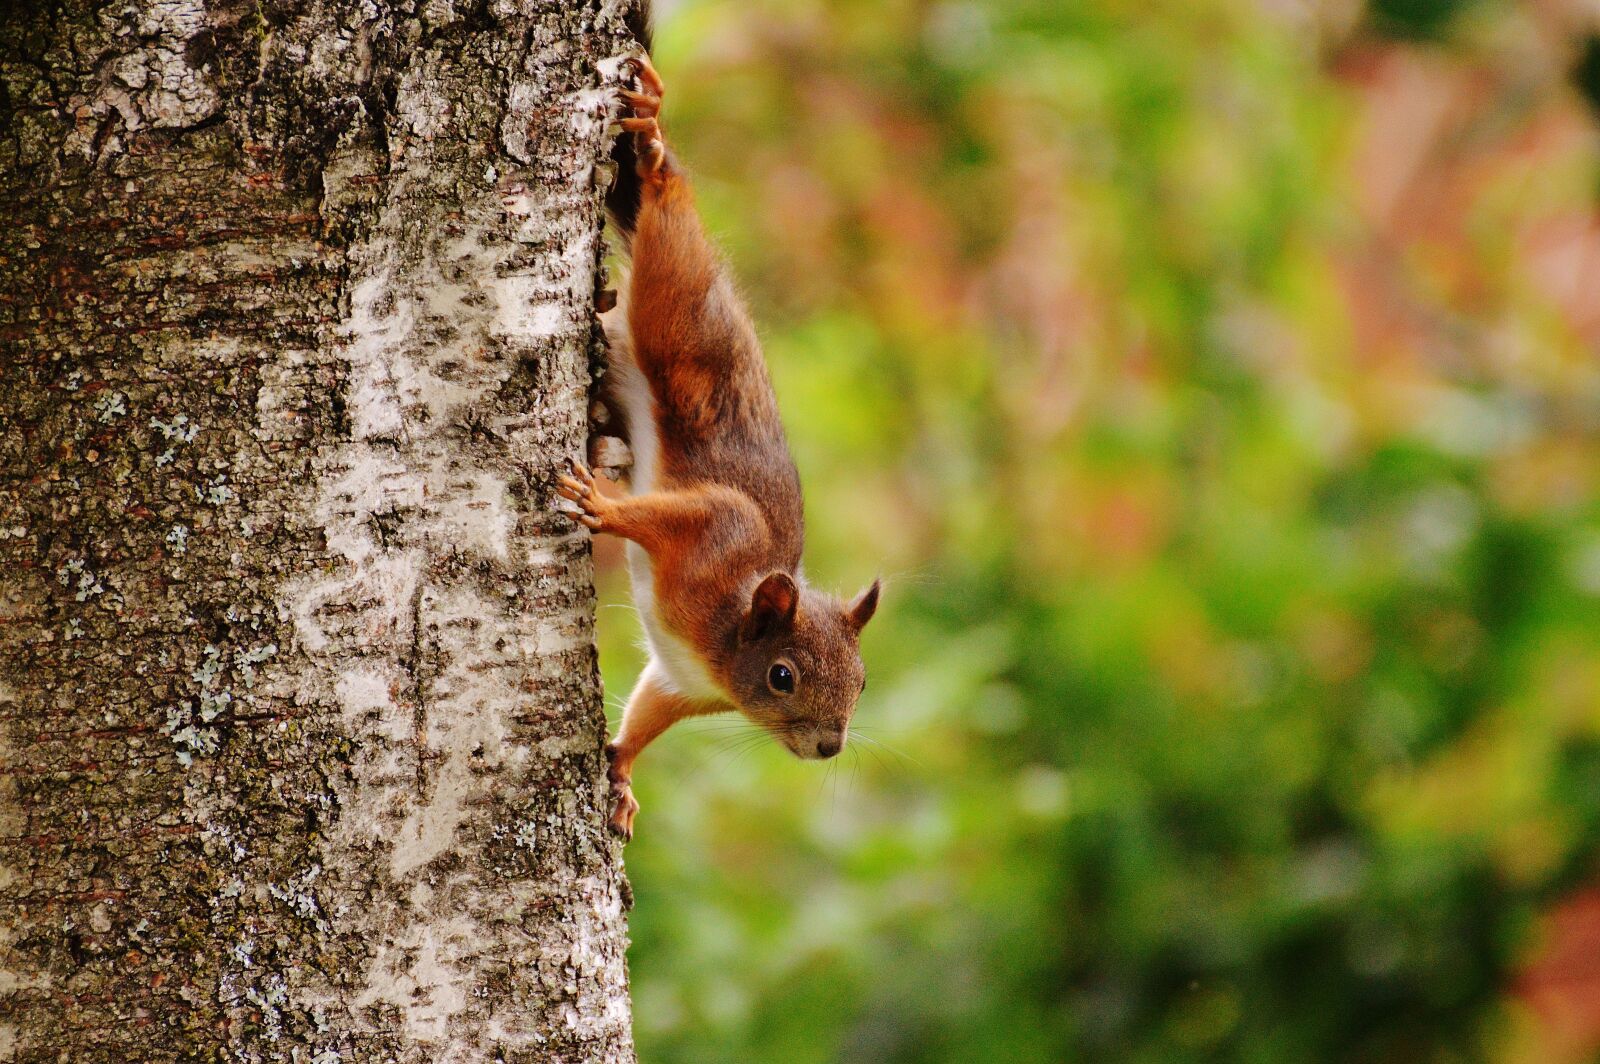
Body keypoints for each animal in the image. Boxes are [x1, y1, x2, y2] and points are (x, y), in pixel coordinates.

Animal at [558, 37, 880, 840]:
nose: (829, 748)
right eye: (782, 676)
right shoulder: (717, 532)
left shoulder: (681, 682)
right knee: (668, 215)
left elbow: (646, 714)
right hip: (676, 308)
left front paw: (621, 773)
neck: (725, 638)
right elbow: (684, 513)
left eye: (863, 680)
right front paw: (603, 511)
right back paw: (653, 142)